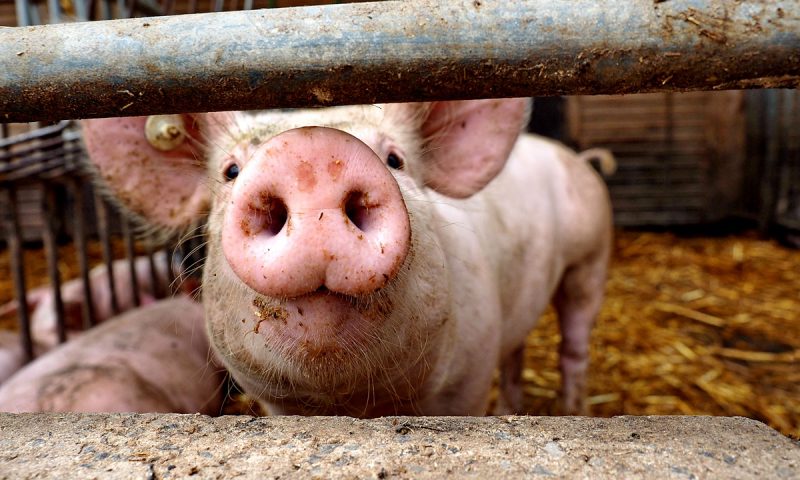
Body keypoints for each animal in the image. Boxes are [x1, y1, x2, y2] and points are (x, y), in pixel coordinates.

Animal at [75, 99, 612, 418]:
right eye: (230, 170)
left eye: (395, 159)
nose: (311, 154)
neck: (353, 407)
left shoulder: (469, 379)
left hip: (591, 258)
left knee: (574, 345)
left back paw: (574, 413)